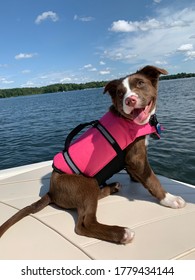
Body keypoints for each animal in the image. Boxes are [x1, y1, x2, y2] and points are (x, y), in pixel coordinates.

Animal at [0, 65, 186, 243]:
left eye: (140, 83)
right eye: (120, 93)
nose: (130, 100)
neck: (127, 120)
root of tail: (52, 191)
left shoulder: (132, 160)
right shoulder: (136, 158)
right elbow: (152, 180)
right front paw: (169, 199)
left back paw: (111, 188)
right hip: (85, 184)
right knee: (84, 224)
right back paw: (121, 233)